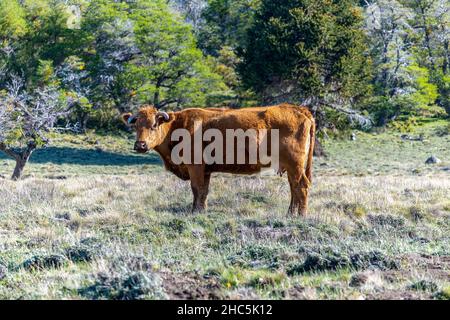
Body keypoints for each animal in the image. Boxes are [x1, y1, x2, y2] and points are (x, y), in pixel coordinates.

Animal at [121, 104, 314, 216]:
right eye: (136, 125)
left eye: (154, 125)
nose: (140, 145)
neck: (178, 126)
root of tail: (299, 109)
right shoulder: (205, 170)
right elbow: (203, 191)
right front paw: (201, 210)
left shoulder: (195, 167)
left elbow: (197, 189)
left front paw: (196, 212)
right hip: (291, 167)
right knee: (294, 187)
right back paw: (290, 214)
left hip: (295, 165)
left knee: (301, 186)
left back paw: (301, 216)